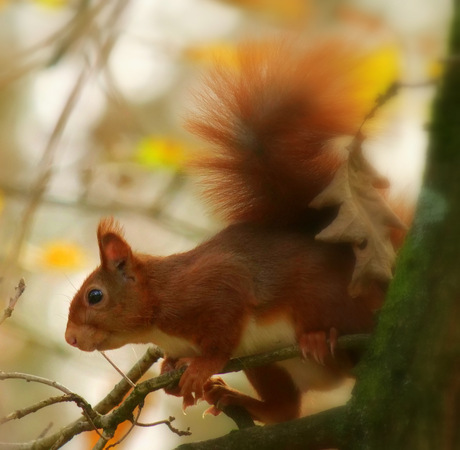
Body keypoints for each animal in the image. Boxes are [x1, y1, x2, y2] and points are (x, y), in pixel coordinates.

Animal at [65, 37, 406, 422]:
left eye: (95, 296)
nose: (70, 338)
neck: (158, 301)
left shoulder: (215, 285)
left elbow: (223, 329)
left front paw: (201, 367)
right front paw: (172, 370)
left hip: (327, 300)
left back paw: (320, 339)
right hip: (267, 366)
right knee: (284, 409)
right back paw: (232, 395)